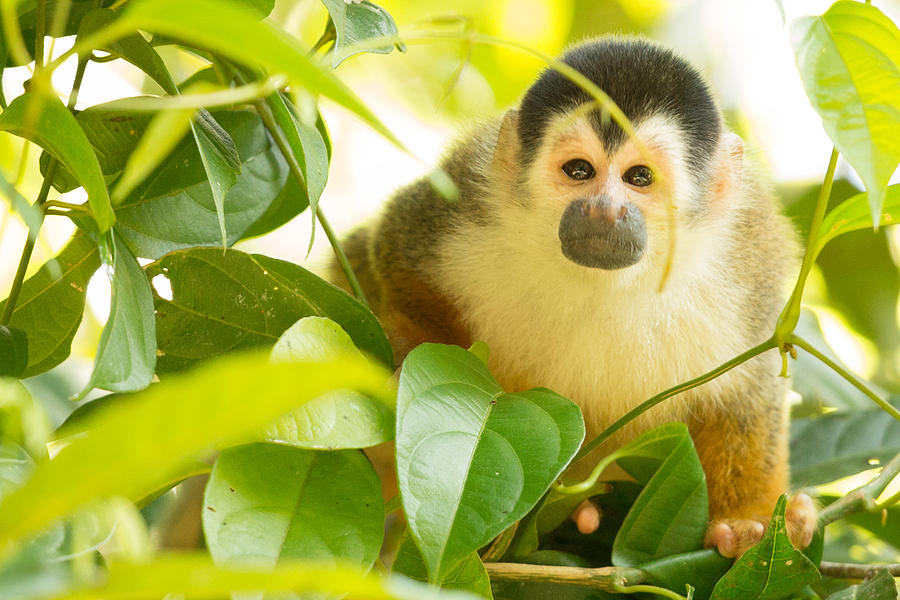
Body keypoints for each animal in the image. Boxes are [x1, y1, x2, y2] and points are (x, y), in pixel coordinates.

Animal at [334, 35, 820, 556]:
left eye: (639, 177)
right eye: (579, 170)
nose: (603, 210)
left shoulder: (749, 267)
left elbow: (749, 389)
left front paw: (751, 520)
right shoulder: (466, 197)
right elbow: (392, 247)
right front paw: (411, 350)